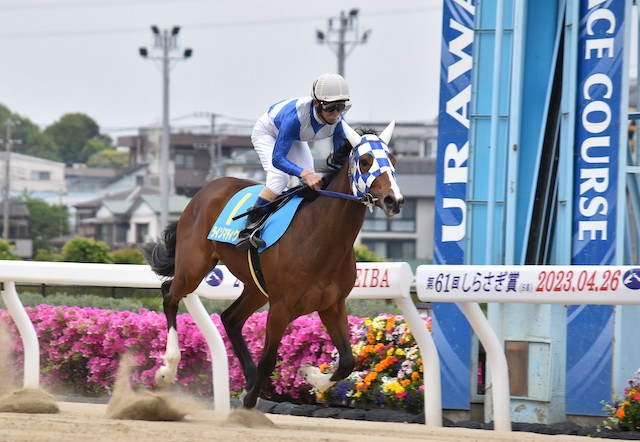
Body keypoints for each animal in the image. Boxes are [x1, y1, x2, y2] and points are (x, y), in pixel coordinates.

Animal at [144, 119, 404, 410]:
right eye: (366, 161)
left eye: (393, 160)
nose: (394, 200)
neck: (320, 238)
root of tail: (204, 191)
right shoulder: (281, 306)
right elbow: (268, 360)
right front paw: (248, 401)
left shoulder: (332, 305)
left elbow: (347, 361)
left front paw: (309, 374)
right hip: (194, 267)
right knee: (169, 294)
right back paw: (167, 370)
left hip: (256, 287)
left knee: (230, 318)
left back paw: (247, 376)